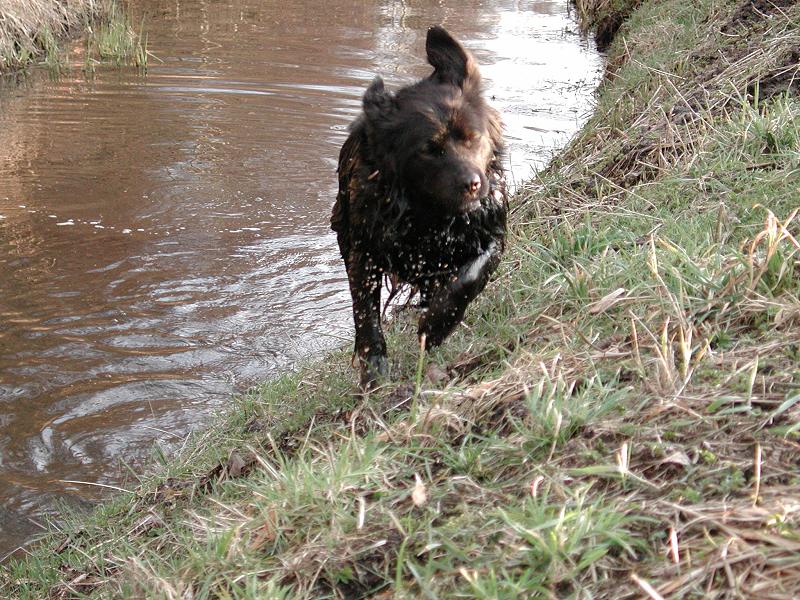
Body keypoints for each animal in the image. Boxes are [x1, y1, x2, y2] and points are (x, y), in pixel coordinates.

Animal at [332, 25, 506, 386]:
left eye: (473, 137)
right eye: (429, 149)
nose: (473, 183)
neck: (431, 216)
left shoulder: (490, 229)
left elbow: (472, 275)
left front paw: (437, 325)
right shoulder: (363, 249)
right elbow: (365, 313)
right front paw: (374, 368)